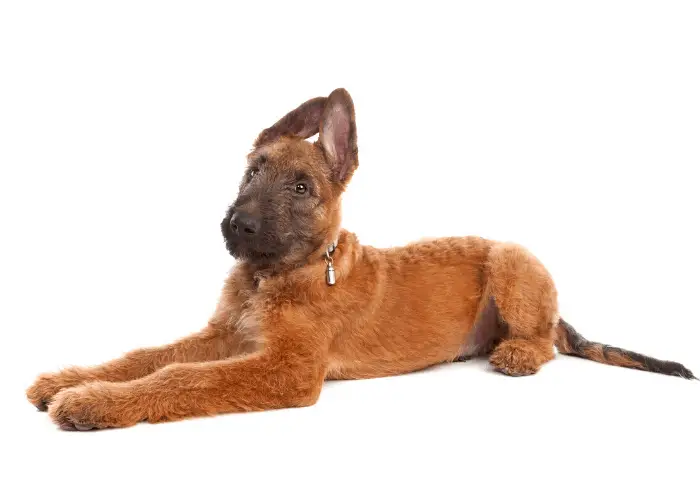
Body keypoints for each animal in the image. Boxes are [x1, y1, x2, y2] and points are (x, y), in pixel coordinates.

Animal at [26, 87, 696, 430]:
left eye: (301, 187)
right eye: (252, 172)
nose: (237, 226)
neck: (277, 275)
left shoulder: (288, 369)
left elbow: (183, 378)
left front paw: (93, 402)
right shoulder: (226, 336)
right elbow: (149, 356)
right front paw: (69, 379)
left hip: (511, 258)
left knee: (545, 340)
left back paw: (517, 353)